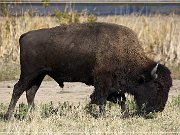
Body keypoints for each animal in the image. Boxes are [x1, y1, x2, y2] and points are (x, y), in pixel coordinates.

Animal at [5, 21, 172, 119]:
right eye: (157, 86)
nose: (160, 108)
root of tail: (24, 35)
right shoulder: (103, 82)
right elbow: (101, 99)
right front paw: (103, 116)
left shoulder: (114, 85)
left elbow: (120, 99)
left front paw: (124, 115)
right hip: (29, 73)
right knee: (18, 89)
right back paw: (8, 116)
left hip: (39, 75)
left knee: (30, 92)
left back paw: (33, 116)